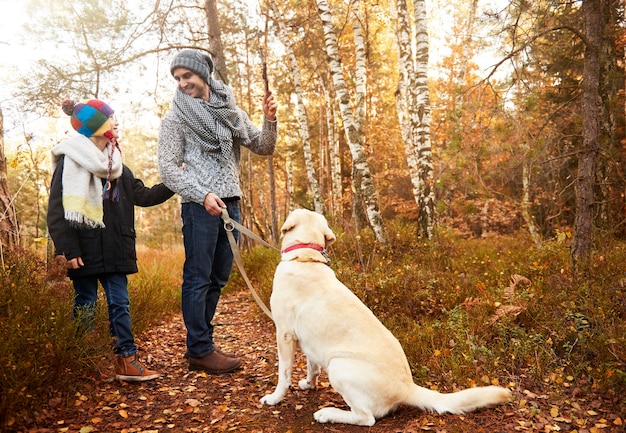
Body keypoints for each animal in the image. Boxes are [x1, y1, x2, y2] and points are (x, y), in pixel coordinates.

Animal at [260, 209, 510, 426]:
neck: (305, 257)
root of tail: (408, 387)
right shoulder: (308, 343)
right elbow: (312, 368)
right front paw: (308, 385)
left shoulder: (284, 334)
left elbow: (283, 375)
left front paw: (274, 399)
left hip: (338, 366)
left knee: (366, 418)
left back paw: (328, 414)